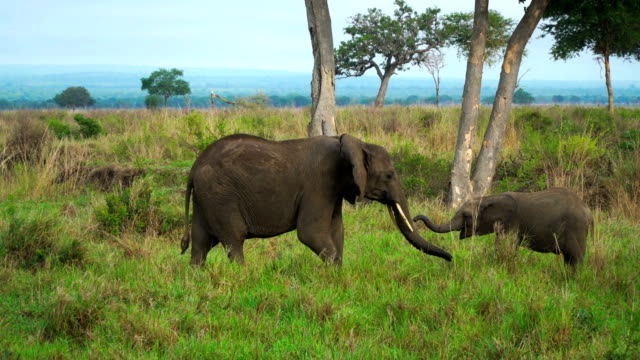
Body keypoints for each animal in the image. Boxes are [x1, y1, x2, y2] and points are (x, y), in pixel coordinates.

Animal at [179, 134, 450, 266]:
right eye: (389, 175)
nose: (451, 260)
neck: (350, 143)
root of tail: (194, 168)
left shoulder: (334, 188)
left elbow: (337, 230)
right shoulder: (319, 184)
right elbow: (310, 233)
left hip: (206, 199)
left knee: (201, 244)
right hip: (220, 196)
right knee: (234, 240)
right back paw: (244, 277)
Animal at [412, 188, 592, 268]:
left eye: (467, 216)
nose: (415, 218)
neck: (488, 198)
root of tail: (589, 212)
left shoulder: (511, 223)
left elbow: (504, 246)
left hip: (576, 229)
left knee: (576, 258)